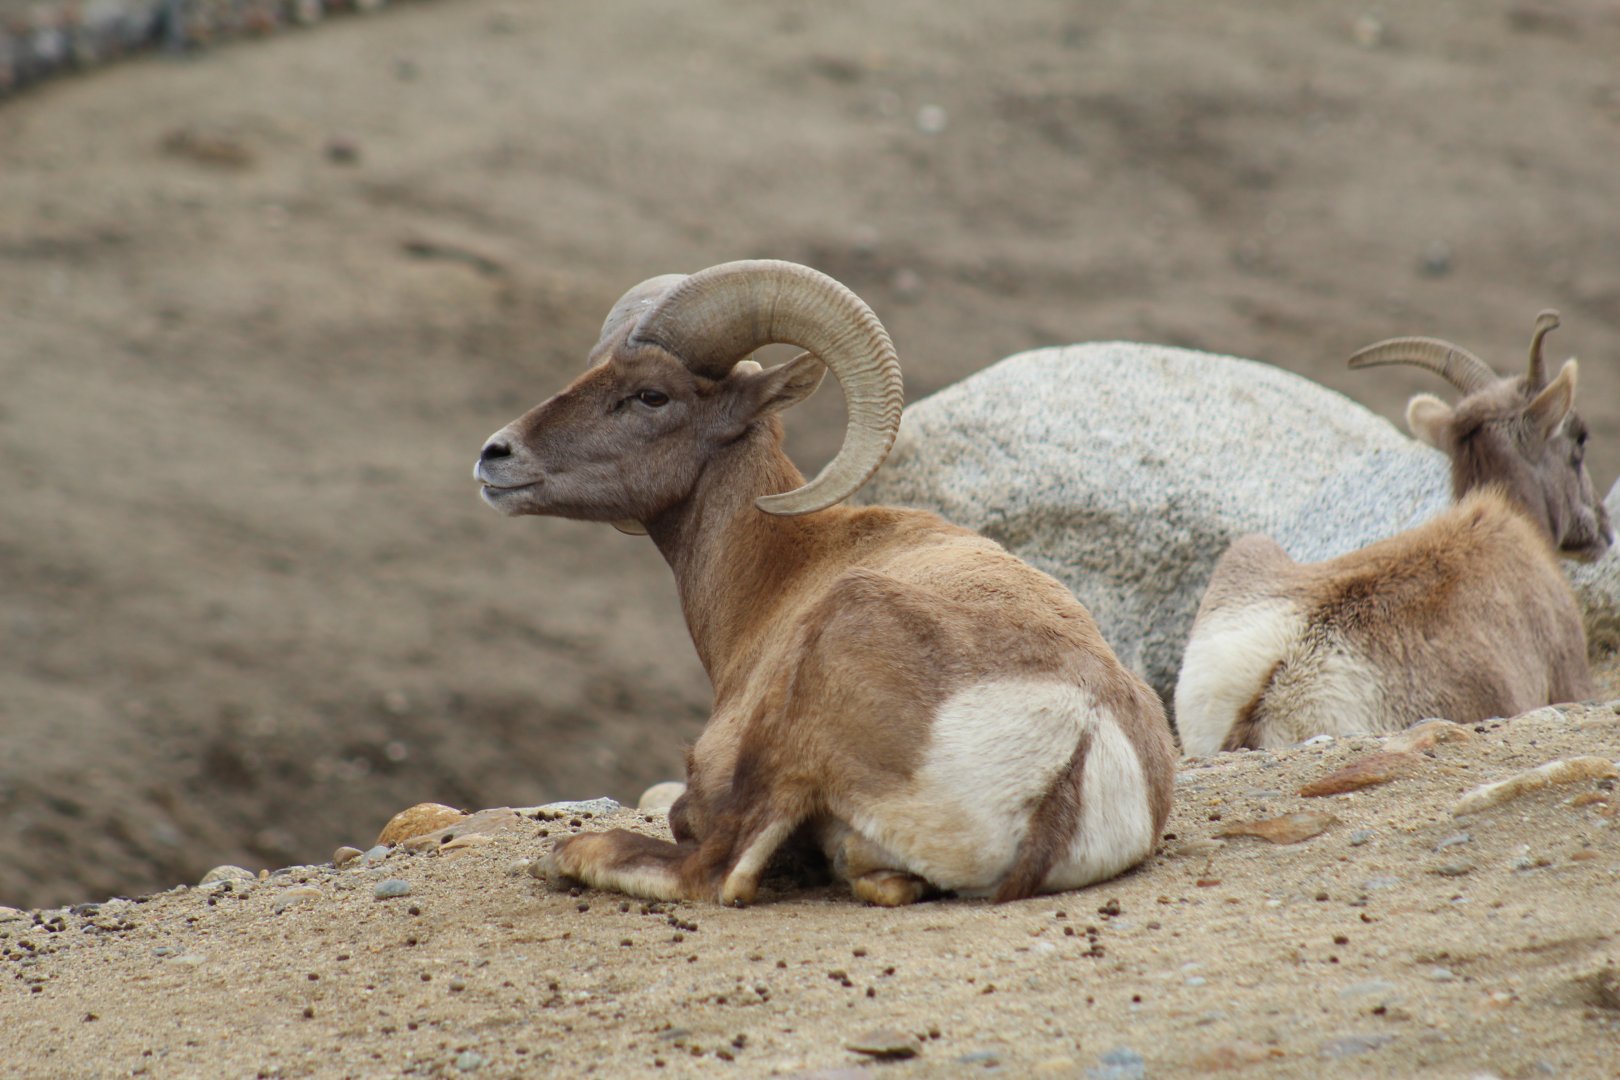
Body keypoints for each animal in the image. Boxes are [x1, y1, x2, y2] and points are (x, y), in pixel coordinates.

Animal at [474, 259, 1175, 905]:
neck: (782, 569)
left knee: (720, 871)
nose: (495, 455)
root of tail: (1076, 747)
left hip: (820, 675)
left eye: (651, 395)